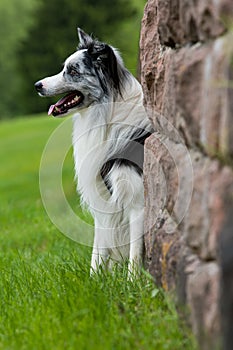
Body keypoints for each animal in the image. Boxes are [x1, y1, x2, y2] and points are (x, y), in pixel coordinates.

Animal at [34, 28, 151, 274]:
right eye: (64, 67)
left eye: (73, 71)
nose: (37, 85)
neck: (108, 116)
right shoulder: (103, 200)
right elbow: (98, 250)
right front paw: (94, 279)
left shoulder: (137, 202)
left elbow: (134, 254)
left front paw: (132, 280)